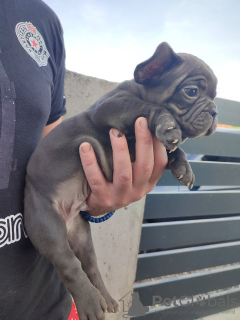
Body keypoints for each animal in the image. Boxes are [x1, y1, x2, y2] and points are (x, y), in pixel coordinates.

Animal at [23, 42, 218, 320]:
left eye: (214, 96)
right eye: (191, 91)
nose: (214, 110)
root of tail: (66, 219)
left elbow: (173, 149)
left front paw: (183, 165)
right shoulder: (112, 106)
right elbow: (148, 108)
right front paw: (167, 124)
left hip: (82, 237)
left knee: (90, 266)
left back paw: (106, 299)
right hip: (47, 227)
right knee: (68, 263)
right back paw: (90, 303)